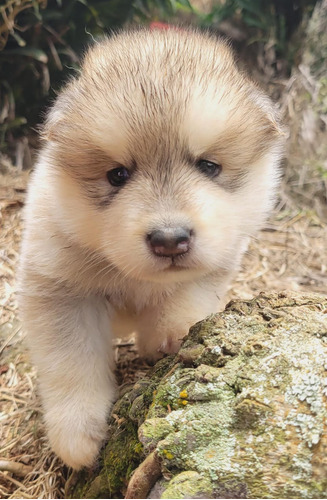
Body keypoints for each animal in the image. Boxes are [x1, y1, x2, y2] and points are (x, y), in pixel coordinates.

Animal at [18, 29, 284, 470]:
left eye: (209, 166)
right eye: (117, 175)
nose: (170, 239)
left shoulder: (221, 258)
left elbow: (187, 294)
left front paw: (169, 332)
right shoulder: (59, 292)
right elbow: (72, 363)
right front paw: (77, 435)